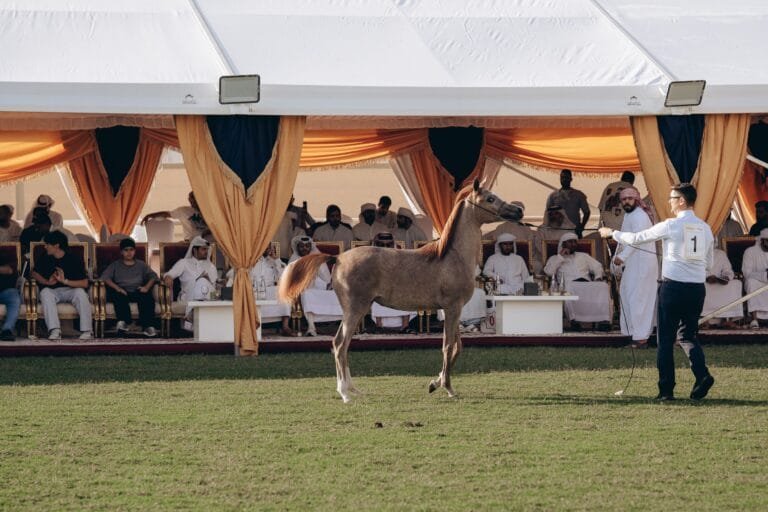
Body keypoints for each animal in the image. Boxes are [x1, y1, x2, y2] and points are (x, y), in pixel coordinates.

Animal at [278, 180, 523, 402]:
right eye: (490, 198)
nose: (518, 211)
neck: (452, 257)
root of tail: (337, 257)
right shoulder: (452, 308)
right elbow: (448, 347)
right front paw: (448, 388)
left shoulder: (457, 310)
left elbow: (457, 348)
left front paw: (434, 384)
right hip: (354, 310)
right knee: (339, 345)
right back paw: (345, 394)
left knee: (343, 346)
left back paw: (353, 389)